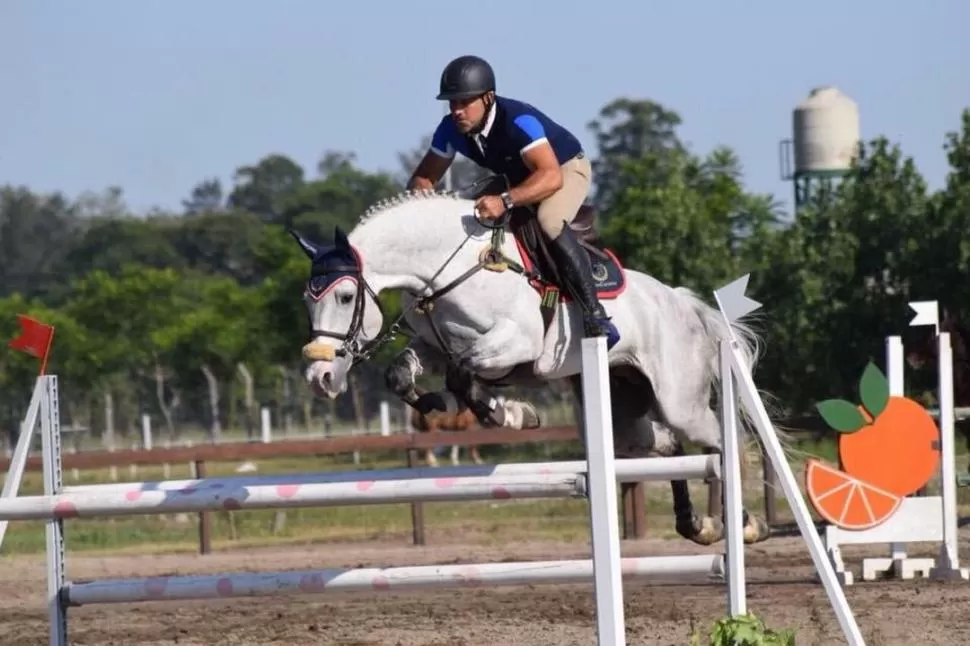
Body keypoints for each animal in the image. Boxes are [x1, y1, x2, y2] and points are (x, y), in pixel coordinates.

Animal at [292, 187, 768, 548]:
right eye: (306, 302)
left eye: (345, 297)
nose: (321, 379)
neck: (449, 270)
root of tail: (683, 304)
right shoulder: (432, 344)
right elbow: (403, 374)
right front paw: (444, 405)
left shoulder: (515, 342)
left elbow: (463, 373)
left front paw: (509, 413)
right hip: (622, 408)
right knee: (668, 446)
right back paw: (698, 525)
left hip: (679, 401)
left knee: (722, 441)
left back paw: (745, 524)